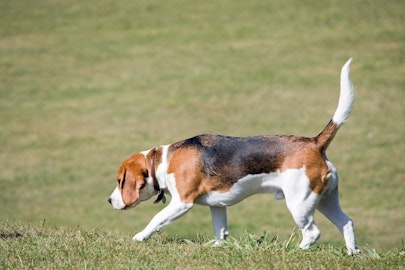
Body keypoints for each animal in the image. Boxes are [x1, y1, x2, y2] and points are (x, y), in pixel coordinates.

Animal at [108, 58, 360, 254]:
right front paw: (217, 245)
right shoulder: (217, 205)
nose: (109, 201)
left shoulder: (182, 202)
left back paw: (296, 250)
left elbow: (157, 218)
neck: (164, 160)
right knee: (346, 222)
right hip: (326, 199)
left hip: (300, 202)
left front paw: (140, 236)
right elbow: (221, 229)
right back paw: (352, 252)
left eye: (120, 181)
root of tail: (315, 143)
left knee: (312, 232)